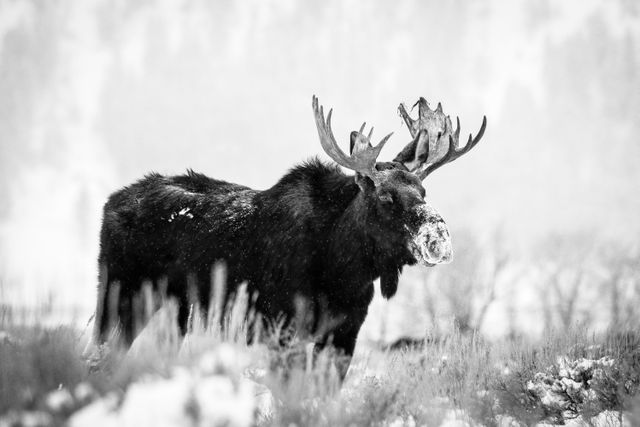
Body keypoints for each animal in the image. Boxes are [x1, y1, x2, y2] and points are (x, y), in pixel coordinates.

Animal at [94, 94, 484, 374]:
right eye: (386, 197)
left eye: (423, 191)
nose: (438, 236)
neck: (344, 268)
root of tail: (109, 203)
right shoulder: (281, 328)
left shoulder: (345, 333)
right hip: (118, 295)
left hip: (174, 311)